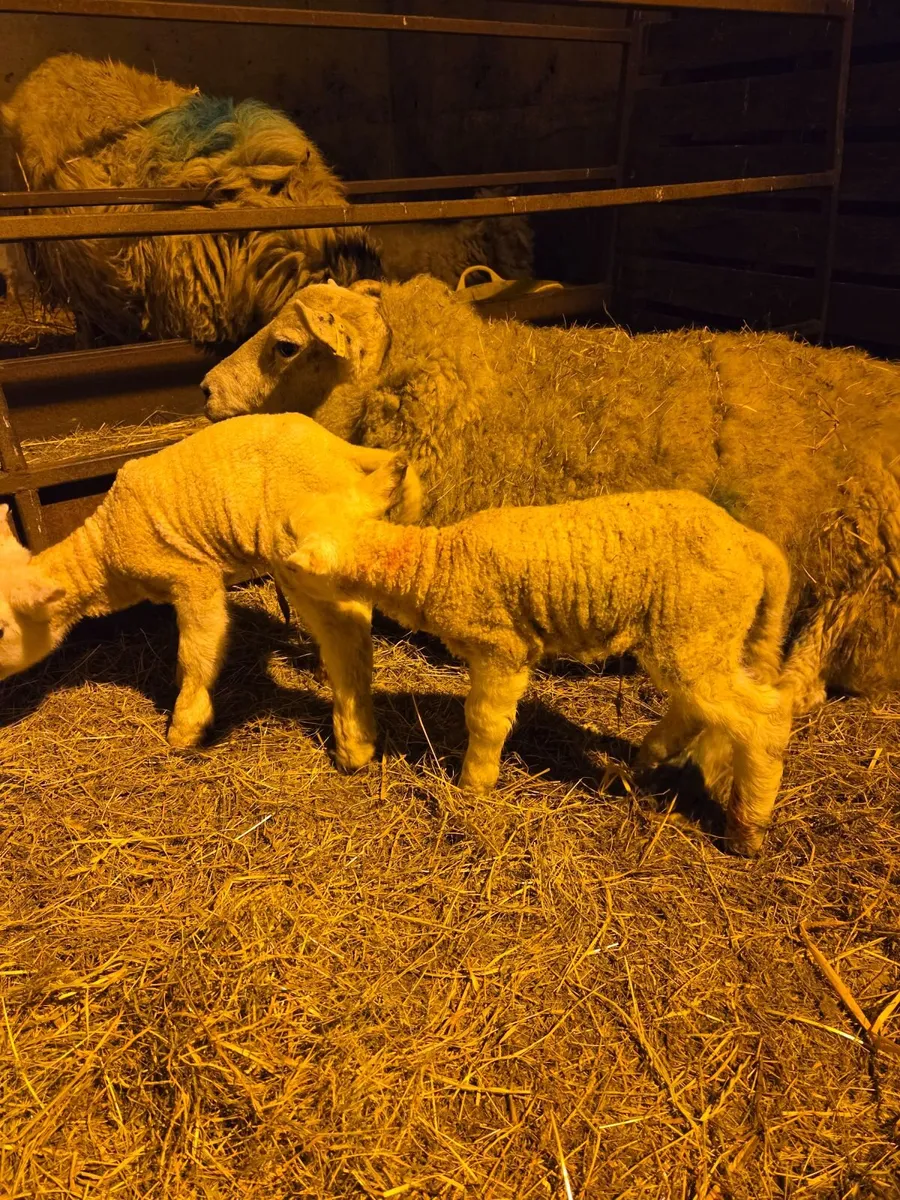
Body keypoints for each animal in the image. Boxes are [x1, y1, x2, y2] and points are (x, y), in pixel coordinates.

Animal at [0, 413, 419, 759]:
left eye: (1, 630)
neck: (106, 545)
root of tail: (340, 450)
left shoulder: (193, 576)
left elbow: (198, 648)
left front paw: (185, 726)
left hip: (305, 552)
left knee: (346, 636)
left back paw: (354, 746)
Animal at [279, 489, 793, 856]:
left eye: (295, 553)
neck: (437, 566)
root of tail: (752, 543)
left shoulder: (501, 648)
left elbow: (485, 722)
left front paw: (473, 786)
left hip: (697, 625)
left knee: (763, 719)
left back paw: (747, 829)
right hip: (697, 638)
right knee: (699, 705)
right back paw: (649, 758)